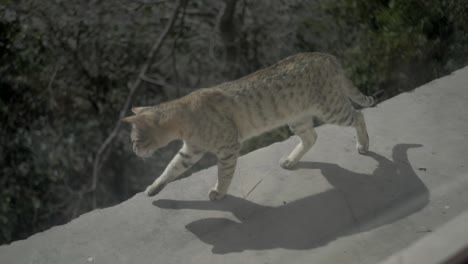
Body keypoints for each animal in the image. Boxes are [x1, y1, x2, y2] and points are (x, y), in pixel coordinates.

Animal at [122, 52, 374, 201]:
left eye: (135, 140)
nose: (134, 150)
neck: (184, 115)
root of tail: (325, 55)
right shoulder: (190, 151)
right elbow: (171, 168)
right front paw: (154, 187)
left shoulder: (228, 147)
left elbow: (224, 173)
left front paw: (219, 192)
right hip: (298, 118)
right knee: (311, 137)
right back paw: (291, 160)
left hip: (331, 109)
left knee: (359, 114)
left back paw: (363, 145)